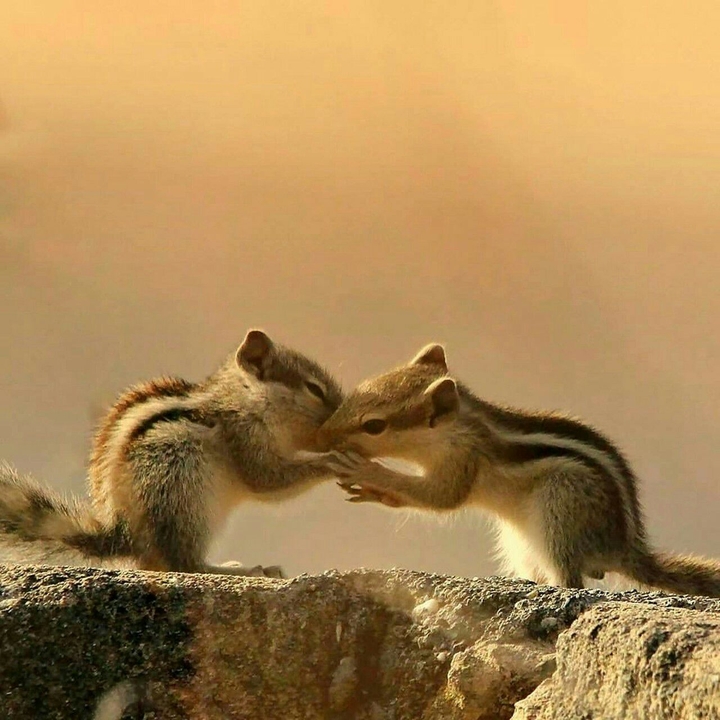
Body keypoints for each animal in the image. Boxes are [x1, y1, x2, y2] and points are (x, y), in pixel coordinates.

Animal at [0, 330, 343, 576]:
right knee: (184, 563)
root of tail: (123, 536)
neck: (244, 400)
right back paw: (243, 570)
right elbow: (267, 479)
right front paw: (333, 461)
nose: (341, 414)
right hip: (185, 497)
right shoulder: (244, 437)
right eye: (315, 390)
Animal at [320, 343, 720, 597]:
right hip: (520, 543)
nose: (323, 434)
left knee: (571, 580)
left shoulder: (463, 461)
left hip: (560, 509)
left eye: (374, 425)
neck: (458, 426)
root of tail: (625, 548)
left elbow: (441, 499)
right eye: (358, 390)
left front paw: (368, 473)